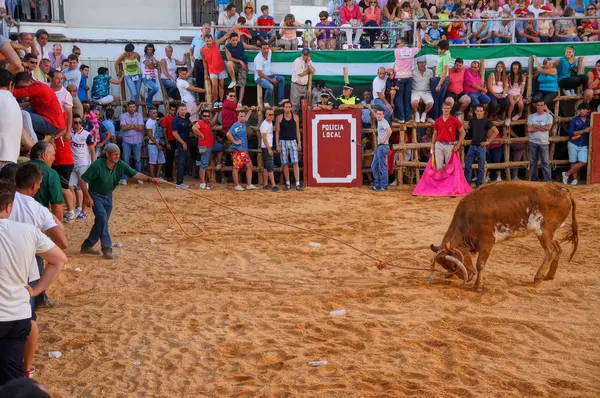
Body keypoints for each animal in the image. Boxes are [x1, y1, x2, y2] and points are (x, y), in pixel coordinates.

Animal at [428, 182, 580, 290]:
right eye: (449, 266)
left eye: (454, 265)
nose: (469, 276)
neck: (468, 218)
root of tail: (563, 190)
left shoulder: (487, 241)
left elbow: (480, 264)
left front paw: (478, 286)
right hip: (553, 232)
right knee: (558, 249)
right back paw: (549, 276)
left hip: (544, 231)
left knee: (550, 251)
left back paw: (538, 278)